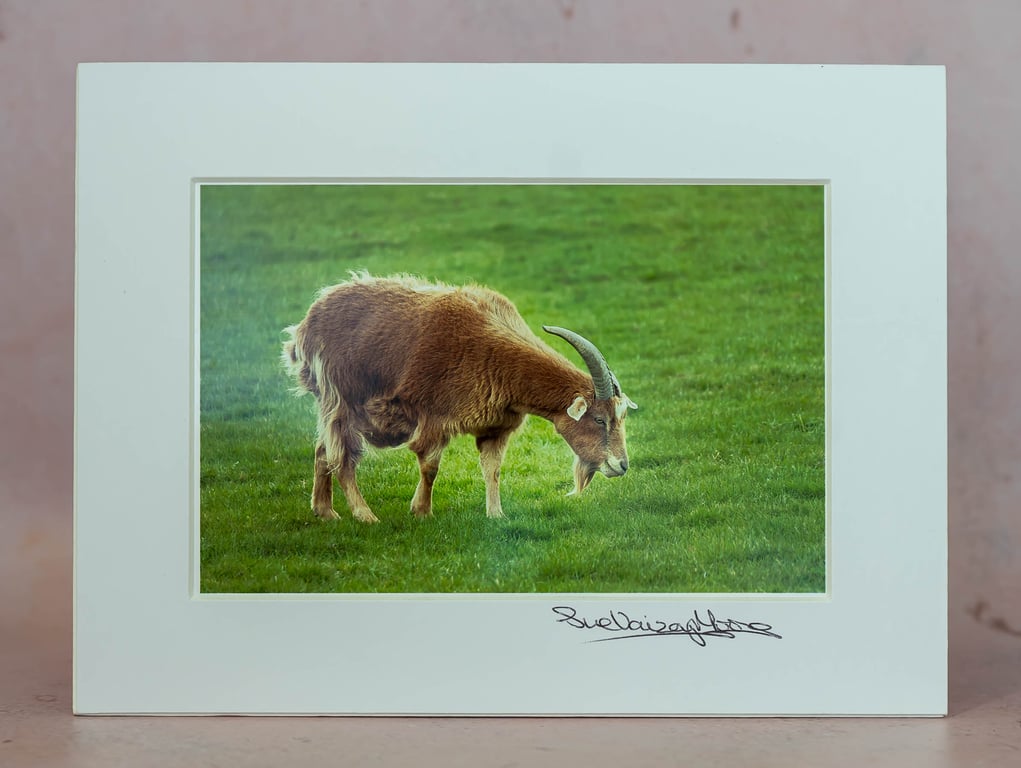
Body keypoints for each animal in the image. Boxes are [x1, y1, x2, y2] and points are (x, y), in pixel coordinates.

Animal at [282, 273, 637, 523]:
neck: (495, 352)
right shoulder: (434, 417)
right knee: (342, 456)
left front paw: (496, 514)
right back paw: (365, 515)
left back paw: (325, 511)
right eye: (600, 419)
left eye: (620, 418)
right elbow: (430, 466)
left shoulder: (495, 427)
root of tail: (304, 327)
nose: (621, 465)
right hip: (342, 398)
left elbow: (492, 469)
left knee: (322, 450)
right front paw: (422, 511)